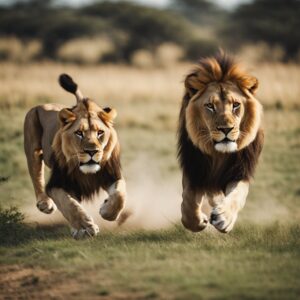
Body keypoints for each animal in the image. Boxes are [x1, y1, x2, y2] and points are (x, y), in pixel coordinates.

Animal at [23, 73, 126, 239]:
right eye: (79, 133)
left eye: (100, 132)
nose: (92, 151)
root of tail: (44, 105)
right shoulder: (57, 183)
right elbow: (68, 204)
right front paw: (85, 228)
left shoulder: (111, 175)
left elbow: (120, 195)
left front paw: (106, 211)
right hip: (32, 142)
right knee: (36, 175)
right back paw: (45, 203)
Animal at [177, 51, 264, 233]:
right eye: (210, 106)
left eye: (236, 105)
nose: (226, 129)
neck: (219, 154)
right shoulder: (195, 168)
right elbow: (188, 203)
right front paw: (199, 221)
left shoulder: (241, 170)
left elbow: (236, 194)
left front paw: (224, 217)